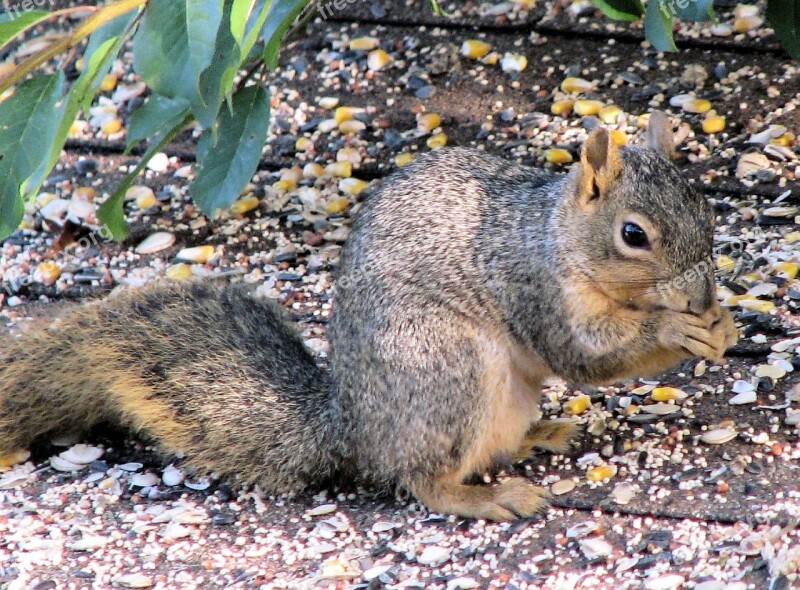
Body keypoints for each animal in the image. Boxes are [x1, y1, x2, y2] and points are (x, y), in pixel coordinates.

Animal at [0, 114, 736, 524]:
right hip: (445, 370)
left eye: (705, 208)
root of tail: (351, 430)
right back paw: (482, 496)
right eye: (634, 235)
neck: (554, 235)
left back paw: (538, 435)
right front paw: (675, 330)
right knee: (421, 479)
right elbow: (585, 356)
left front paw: (721, 324)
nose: (701, 297)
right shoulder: (534, 289)